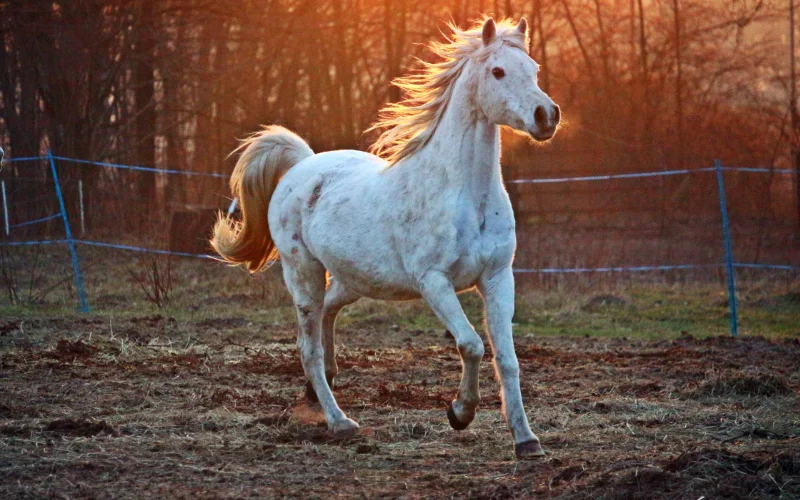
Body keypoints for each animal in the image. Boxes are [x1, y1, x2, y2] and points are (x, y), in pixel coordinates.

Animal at [211, 17, 560, 459]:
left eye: (533, 69)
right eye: (497, 71)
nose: (546, 116)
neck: (465, 194)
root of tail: (302, 165)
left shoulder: (498, 277)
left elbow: (508, 359)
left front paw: (526, 440)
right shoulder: (434, 282)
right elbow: (471, 345)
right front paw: (459, 413)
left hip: (354, 279)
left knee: (327, 315)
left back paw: (320, 386)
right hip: (303, 273)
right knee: (308, 347)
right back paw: (340, 422)